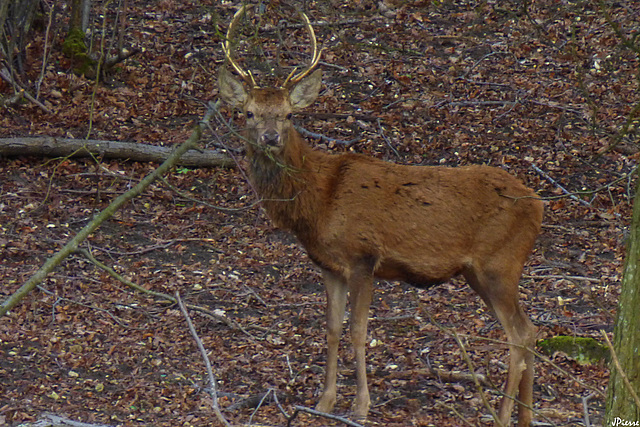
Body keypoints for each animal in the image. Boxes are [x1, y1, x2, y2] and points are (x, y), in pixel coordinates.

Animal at [218, 5, 544, 426]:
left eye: (289, 114)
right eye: (249, 113)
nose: (270, 138)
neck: (318, 202)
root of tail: (539, 204)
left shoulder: (364, 255)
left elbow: (358, 331)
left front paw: (360, 406)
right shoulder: (328, 265)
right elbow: (331, 329)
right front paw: (324, 402)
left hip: (500, 263)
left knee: (518, 337)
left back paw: (502, 416)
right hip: (481, 272)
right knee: (531, 330)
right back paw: (525, 416)